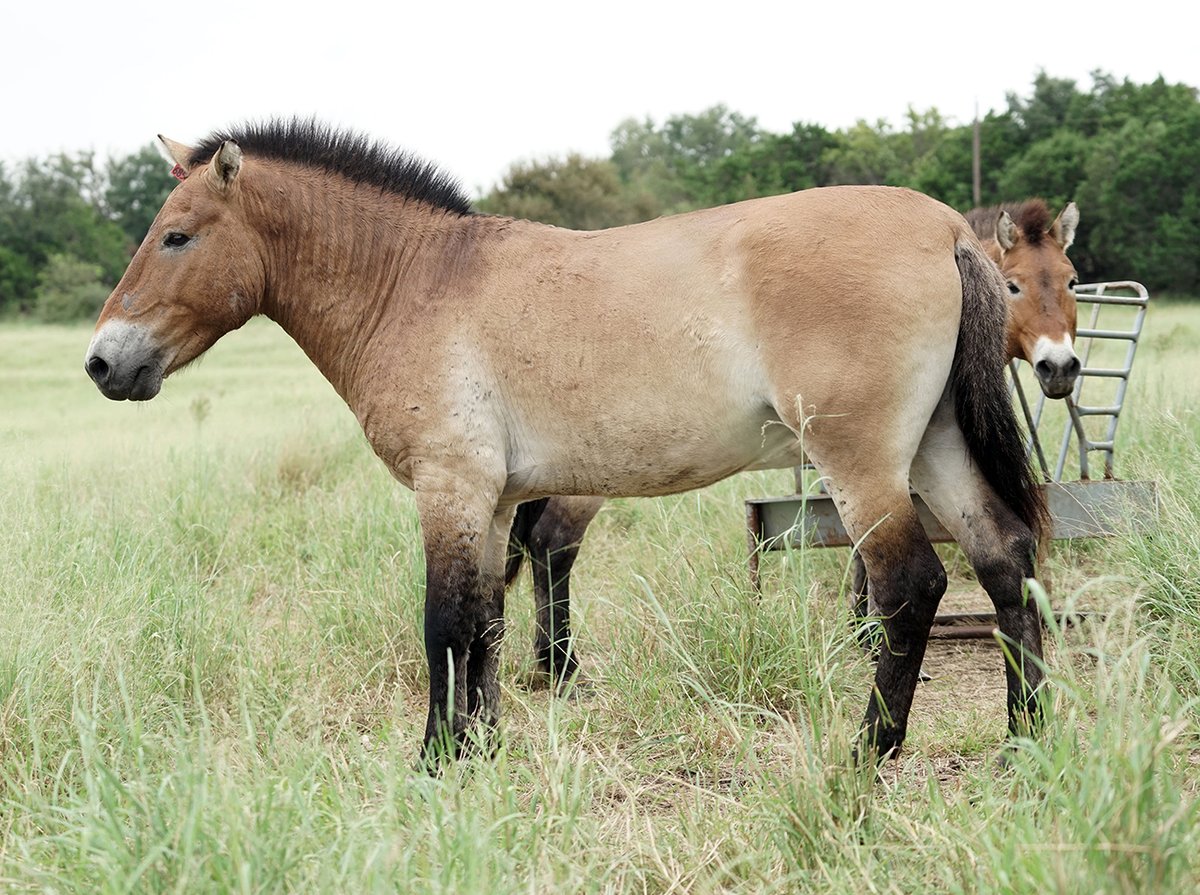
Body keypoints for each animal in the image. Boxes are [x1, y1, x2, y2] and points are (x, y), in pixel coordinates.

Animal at [508, 199, 1080, 686]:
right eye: (1013, 286)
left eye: (1071, 281)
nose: (1060, 367)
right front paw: (866, 635)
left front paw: (863, 633)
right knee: (552, 543)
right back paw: (559, 667)